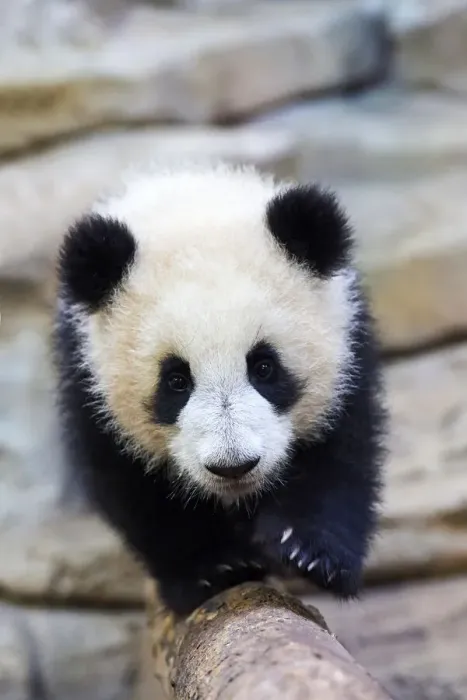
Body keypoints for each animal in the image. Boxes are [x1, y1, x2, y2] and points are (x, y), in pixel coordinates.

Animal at [53, 162, 387, 616]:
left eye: (264, 367)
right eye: (176, 381)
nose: (234, 466)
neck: (197, 209)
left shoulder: (347, 344)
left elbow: (341, 454)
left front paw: (310, 553)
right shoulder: (87, 374)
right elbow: (134, 486)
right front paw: (215, 569)